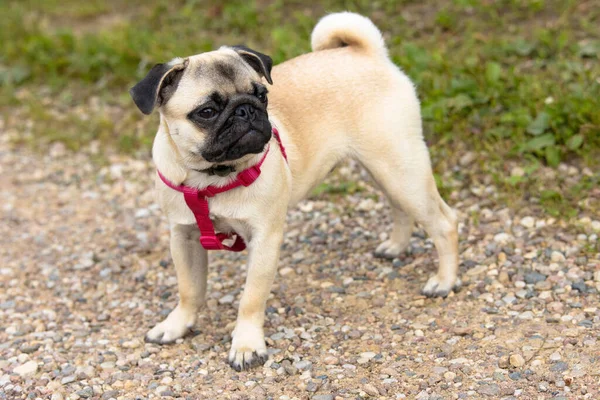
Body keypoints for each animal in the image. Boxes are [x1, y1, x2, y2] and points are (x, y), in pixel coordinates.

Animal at [130, 10, 460, 370]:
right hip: (383, 170)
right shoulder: (184, 236)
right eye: (207, 111)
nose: (246, 110)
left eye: (262, 95)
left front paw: (246, 345)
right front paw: (177, 325)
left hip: (401, 168)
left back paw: (444, 282)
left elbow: (250, 298)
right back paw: (396, 247)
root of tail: (367, 54)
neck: (212, 178)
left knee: (444, 223)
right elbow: (189, 289)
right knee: (399, 208)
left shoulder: (264, 239)